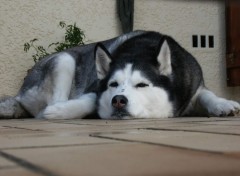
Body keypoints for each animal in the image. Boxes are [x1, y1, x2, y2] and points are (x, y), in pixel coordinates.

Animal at [0, 31, 240, 119]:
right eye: (113, 85)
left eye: (142, 85)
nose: (118, 101)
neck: (141, 49)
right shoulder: (94, 87)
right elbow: (91, 100)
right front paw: (61, 111)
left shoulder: (193, 83)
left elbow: (206, 94)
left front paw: (223, 104)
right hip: (64, 60)